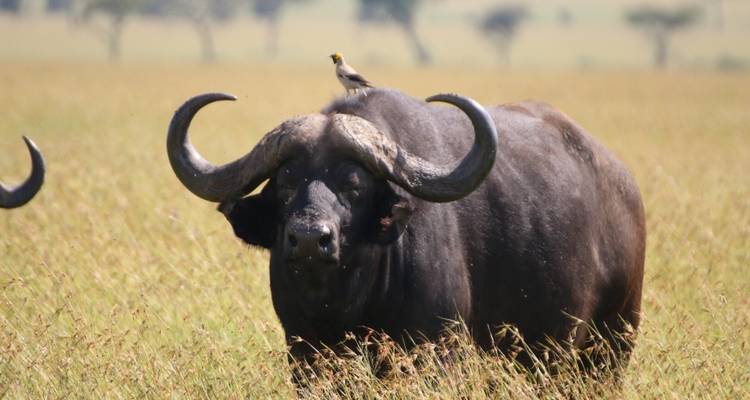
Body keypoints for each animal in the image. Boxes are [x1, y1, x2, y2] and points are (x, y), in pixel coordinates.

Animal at [167, 89, 645, 378]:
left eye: (354, 185)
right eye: (285, 183)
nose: (308, 238)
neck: (346, 305)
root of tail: (623, 185)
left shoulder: (437, 353)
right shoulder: (304, 355)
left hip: (611, 345)